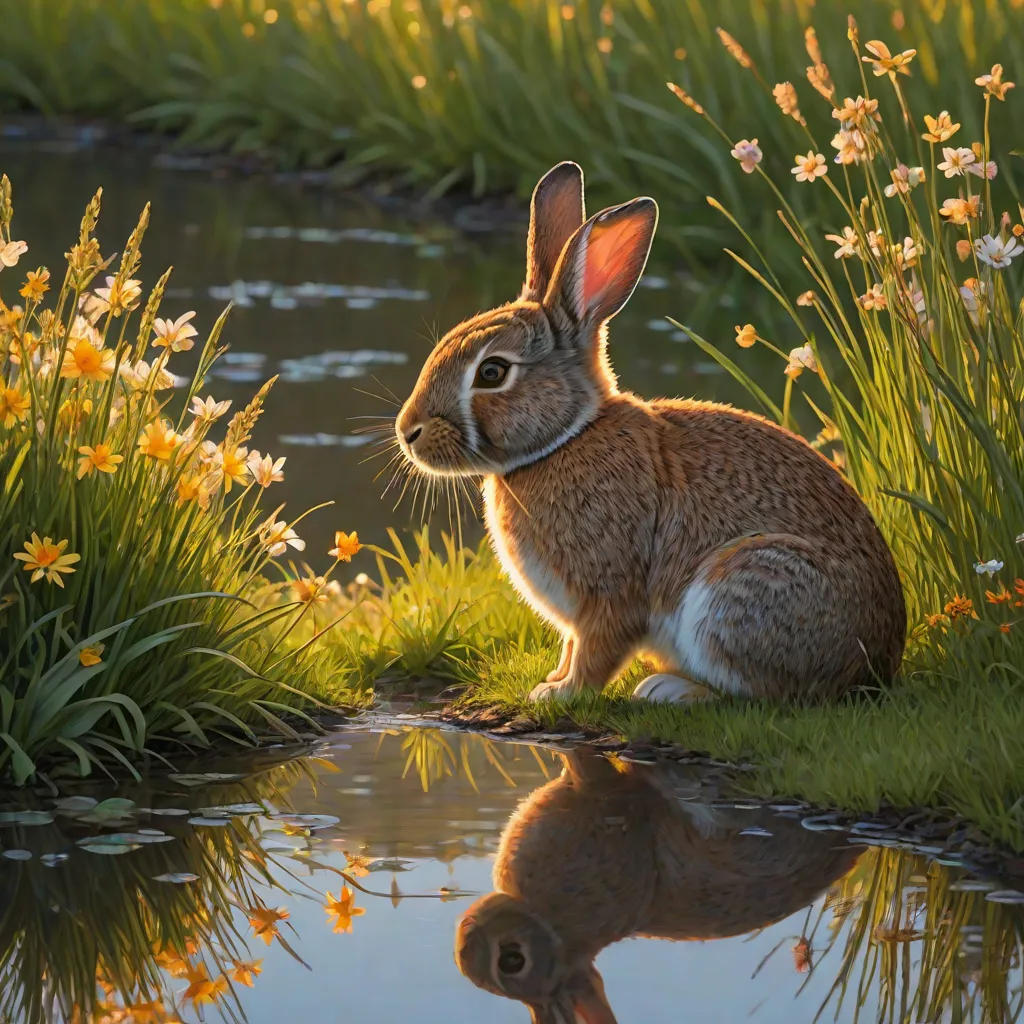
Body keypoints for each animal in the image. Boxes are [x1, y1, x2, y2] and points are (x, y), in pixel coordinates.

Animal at [396, 161, 906, 703]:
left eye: (492, 372)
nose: (408, 432)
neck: (566, 438)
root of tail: (877, 665)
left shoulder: (611, 593)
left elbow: (598, 649)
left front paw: (561, 694)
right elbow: (571, 646)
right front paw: (552, 680)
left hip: (738, 589)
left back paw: (668, 690)